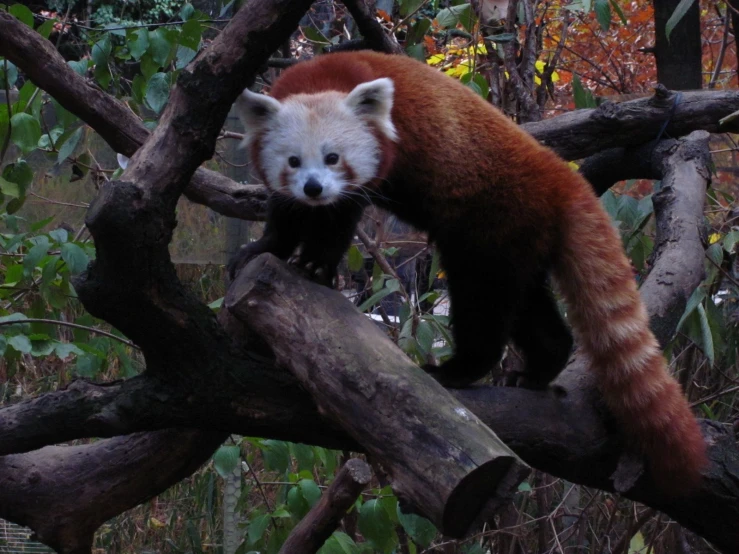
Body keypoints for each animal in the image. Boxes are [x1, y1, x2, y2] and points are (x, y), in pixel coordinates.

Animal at [228, 51, 708, 492]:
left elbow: (339, 216)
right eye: (293, 161)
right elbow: (286, 214)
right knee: (528, 304)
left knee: (482, 297)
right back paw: (538, 368)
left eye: (333, 158)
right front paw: (263, 247)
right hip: (522, 238)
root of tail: (561, 180)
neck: (323, 77)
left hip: (491, 223)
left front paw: (314, 263)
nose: (314, 188)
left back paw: (460, 369)